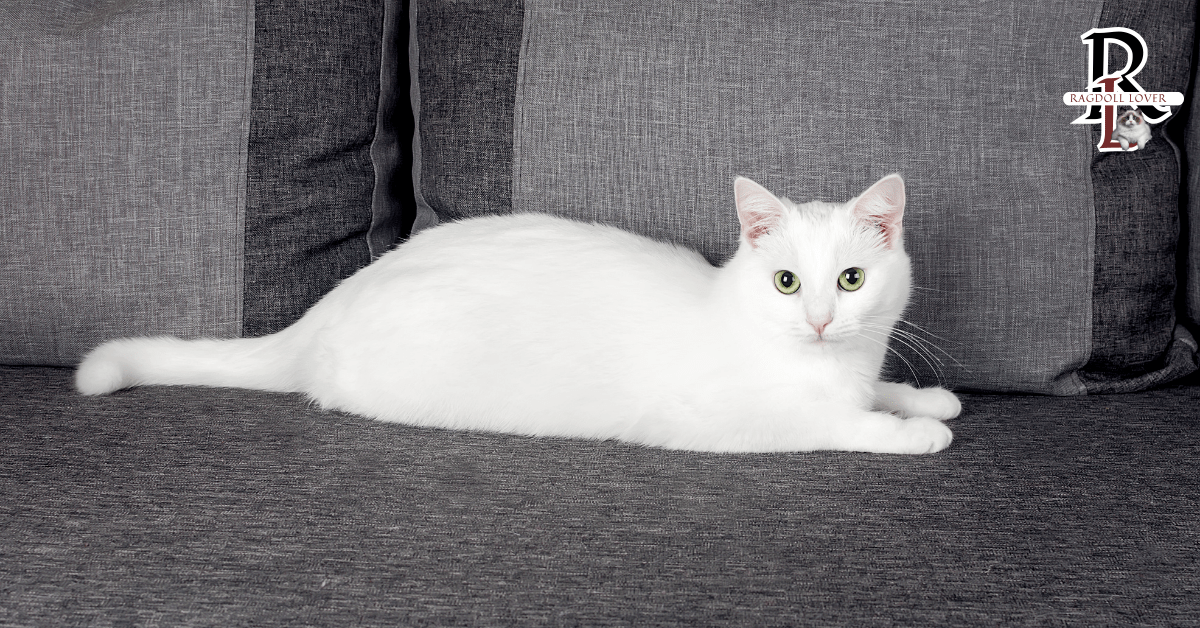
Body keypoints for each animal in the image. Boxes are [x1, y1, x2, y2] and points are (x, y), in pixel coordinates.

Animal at [75, 174, 960, 453]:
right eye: (784, 282)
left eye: (850, 280)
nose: (819, 320)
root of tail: (337, 298)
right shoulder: (726, 418)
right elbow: (836, 422)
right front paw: (911, 431)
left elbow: (876, 392)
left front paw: (925, 399)